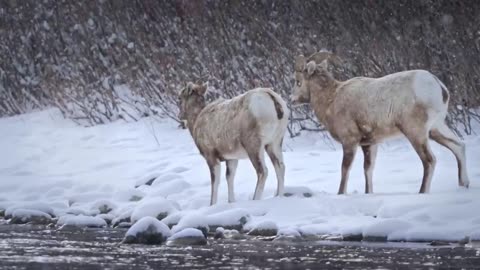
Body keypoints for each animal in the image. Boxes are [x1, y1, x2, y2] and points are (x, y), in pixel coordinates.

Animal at [290, 51, 470, 194]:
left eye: (298, 81)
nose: (291, 99)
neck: (331, 99)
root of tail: (440, 88)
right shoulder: (369, 144)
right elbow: (368, 169)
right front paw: (368, 193)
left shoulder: (350, 141)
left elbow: (345, 169)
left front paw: (341, 194)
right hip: (435, 129)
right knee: (459, 146)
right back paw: (464, 184)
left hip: (416, 133)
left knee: (429, 160)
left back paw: (422, 192)